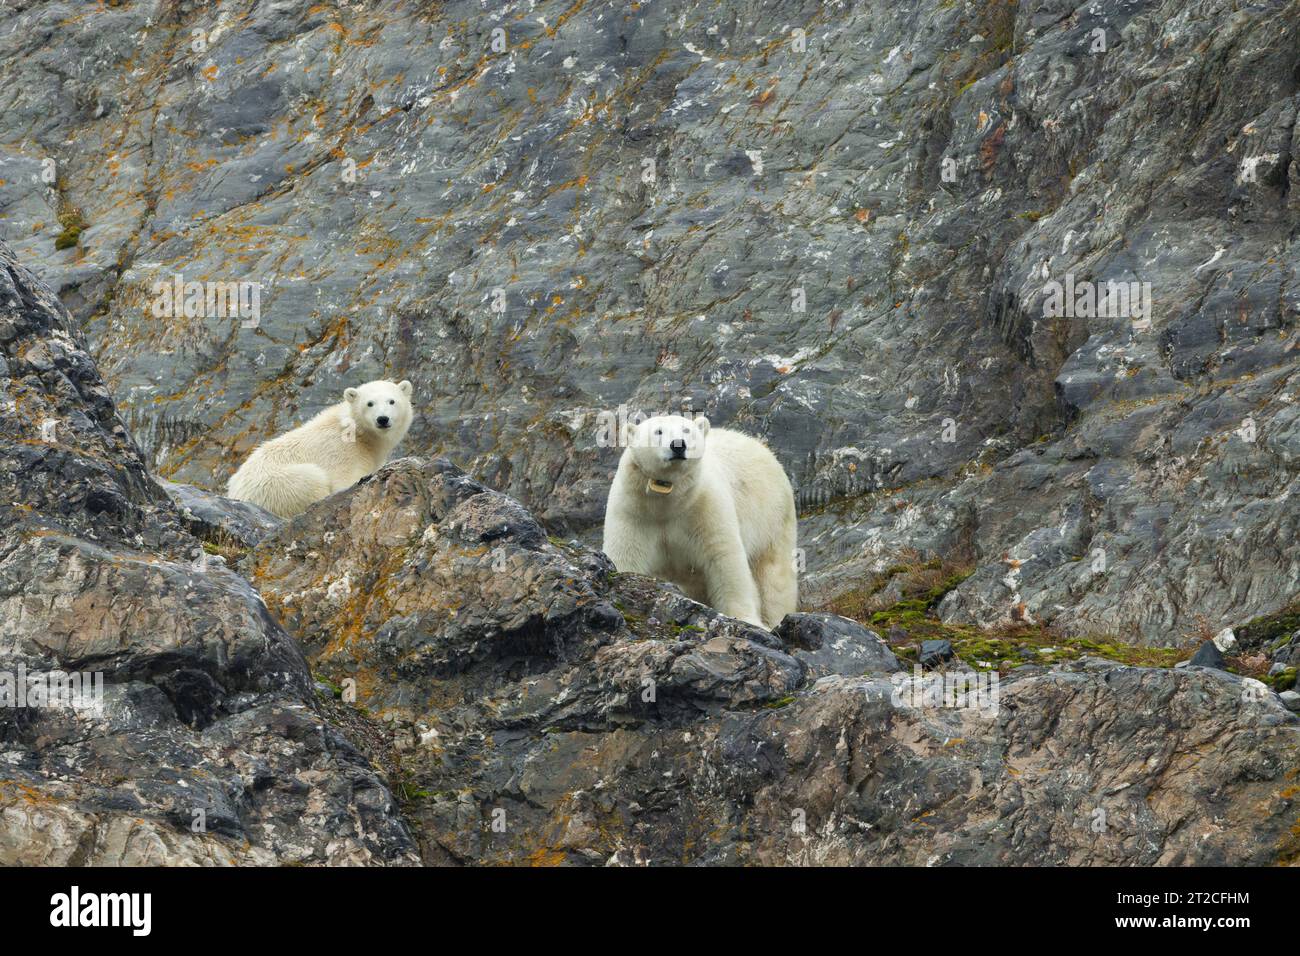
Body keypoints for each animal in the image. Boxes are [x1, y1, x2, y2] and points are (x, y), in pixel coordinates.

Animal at [227, 379, 413, 518]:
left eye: (392, 401)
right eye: (369, 403)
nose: (382, 419)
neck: (358, 434)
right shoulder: (342, 453)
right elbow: (345, 480)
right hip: (278, 485)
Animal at [602, 414, 798, 629]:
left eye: (686, 430)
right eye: (658, 431)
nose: (678, 445)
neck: (667, 503)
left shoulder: (704, 506)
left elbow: (724, 557)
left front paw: (747, 619)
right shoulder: (633, 512)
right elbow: (627, 556)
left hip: (773, 519)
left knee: (774, 579)